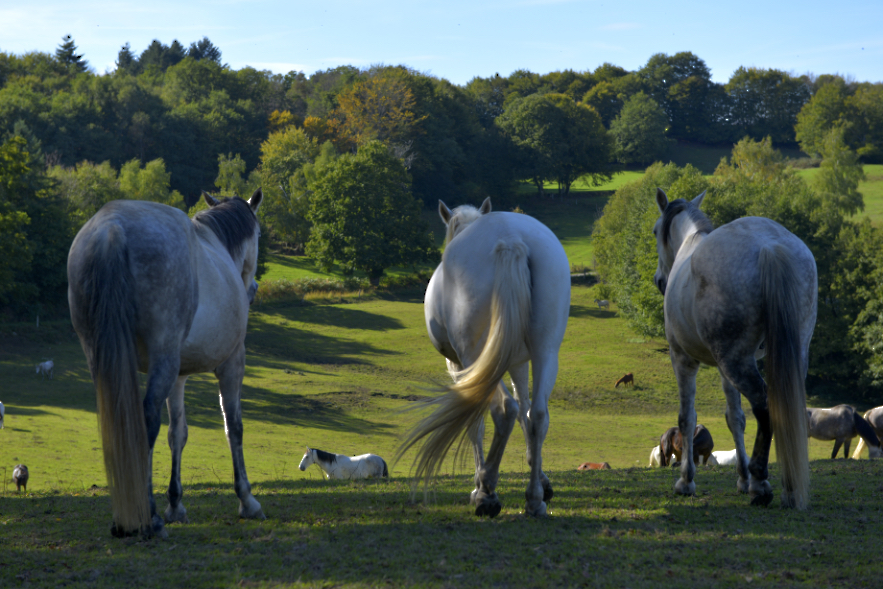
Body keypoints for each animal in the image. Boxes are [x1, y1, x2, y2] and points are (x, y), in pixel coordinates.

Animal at [67, 189, 264, 536]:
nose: (252, 289)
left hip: (104, 360)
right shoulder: (232, 363)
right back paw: (148, 517)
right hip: (163, 361)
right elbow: (234, 427)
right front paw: (246, 500)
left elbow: (178, 434)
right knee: (146, 421)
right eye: (259, 235)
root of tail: (111, 229)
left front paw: (176, 503)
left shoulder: (179, 376)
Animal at [402, 196, 572, 516]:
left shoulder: (457, 365)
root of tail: (511, 239)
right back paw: (534, 499)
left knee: (503, 409)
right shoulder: (518, 362)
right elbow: (526, 411)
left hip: (472, 356)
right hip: (546, 351)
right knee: (537, 414)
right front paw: (542, 480)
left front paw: (478, 482)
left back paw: (487, 491)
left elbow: (476, 424)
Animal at [652, 189, 820, 510]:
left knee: (764, 406)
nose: (659, 281)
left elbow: (686, 418)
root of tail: (769, 245)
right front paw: (742, 478)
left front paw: (686, 481)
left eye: (655, 231)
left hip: (736, 362)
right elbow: (735, 418)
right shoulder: (722, 370)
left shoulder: (683, 360)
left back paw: (761, 482)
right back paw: (782, 487)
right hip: (784, 356)